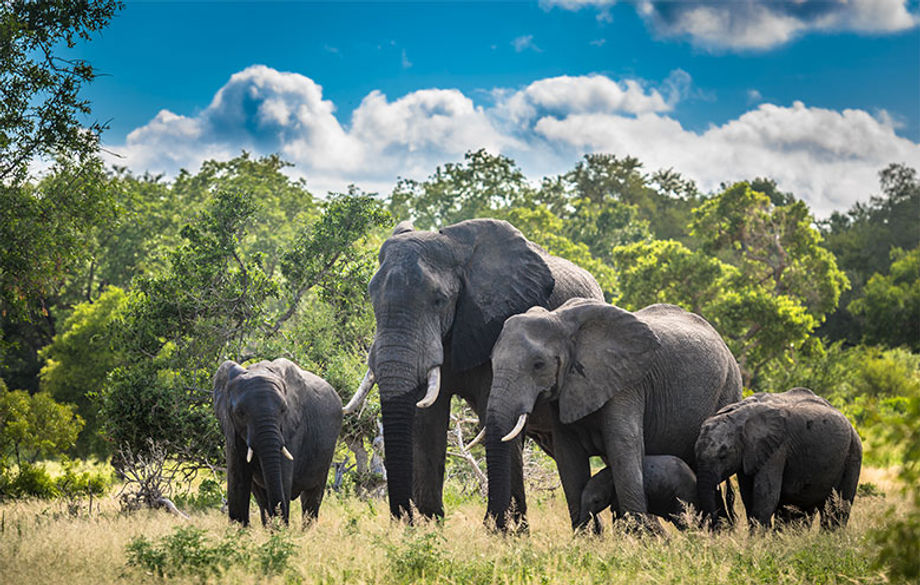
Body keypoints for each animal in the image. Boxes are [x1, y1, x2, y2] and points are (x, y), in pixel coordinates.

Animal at [213, 358, 342, 526]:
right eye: (240, 413)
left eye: (283, 410)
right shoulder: (231, 430)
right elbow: (238, 481)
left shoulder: (292, 428)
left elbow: (282, 477)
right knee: (262, 500)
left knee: (311, 498)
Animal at [349, 218, 603, 522]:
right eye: (372, 298)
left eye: (439, 300)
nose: (404, 519)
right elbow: (428, 420)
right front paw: (431, 524)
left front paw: (504, 529)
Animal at [486, 298, 742, 531]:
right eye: (491, 362)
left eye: (538, 364)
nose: (493, 527)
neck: (560, 320)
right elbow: (569, 456)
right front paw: (588, 540)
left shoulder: (628, 384)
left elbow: (623, 445)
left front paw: (638, 538)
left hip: (728, 388)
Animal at [694, 387, 862, 530]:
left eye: (723, 456)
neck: (737, 414)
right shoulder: (749, 454)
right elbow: (748, 495)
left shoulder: (776, 449)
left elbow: (765, 495)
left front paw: (756, 542)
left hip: (853, 454)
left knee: (838, 508)